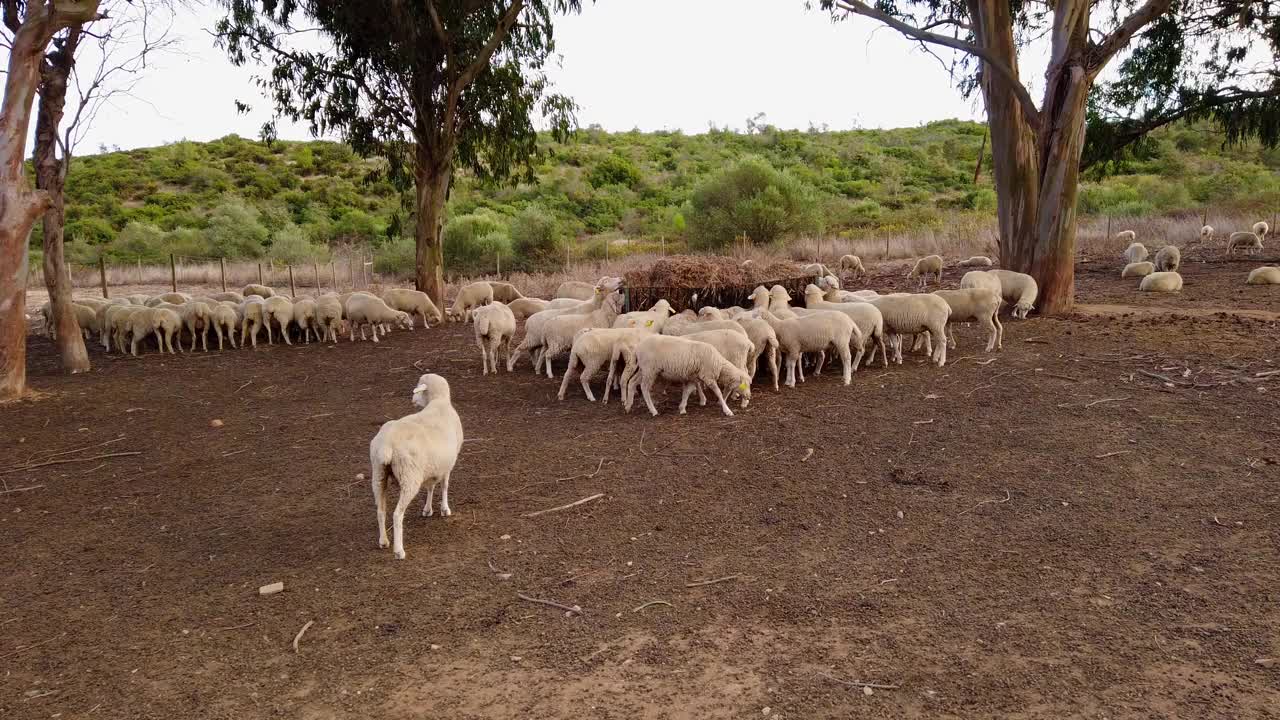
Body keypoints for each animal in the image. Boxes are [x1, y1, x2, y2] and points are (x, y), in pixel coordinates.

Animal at [368, 371, 463, 558]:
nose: (412, 399)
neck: (438, 402)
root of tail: (386, 445)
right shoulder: (448, 463)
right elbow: (444, 486)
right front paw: (444, 509)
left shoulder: (432, 467)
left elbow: (430, 487)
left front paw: (427, 510)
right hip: (409, 476)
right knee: (397, 515)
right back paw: (399, 550)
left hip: (378, 474)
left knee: (381, 510)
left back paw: (383, 541)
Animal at [619, 333, 747, 415]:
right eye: (745, 385)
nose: (749, 397)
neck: (719, 365)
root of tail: (637, 347)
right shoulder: (708, 376)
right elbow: (718, 393)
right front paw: (727, 410)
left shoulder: (693, 377)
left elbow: (687, 391)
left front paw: (682, 408)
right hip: (650, 370)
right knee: (644, 388)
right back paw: (653, 411)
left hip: (644, 369)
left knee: (632, 382)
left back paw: (628, 406)